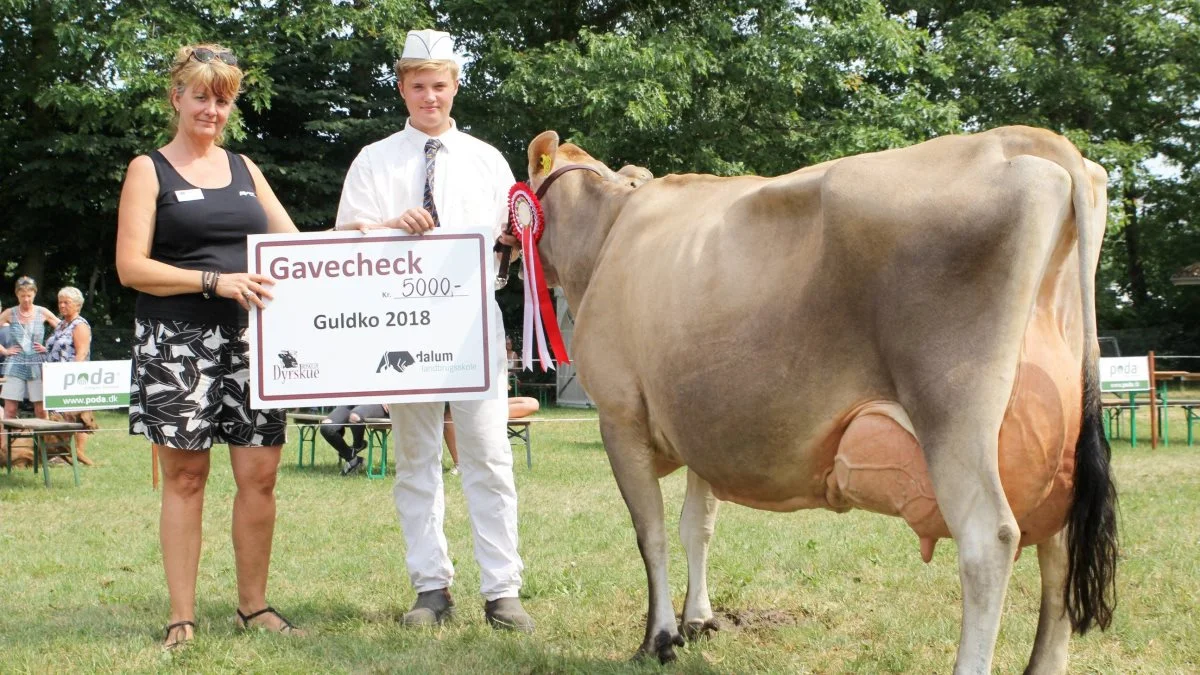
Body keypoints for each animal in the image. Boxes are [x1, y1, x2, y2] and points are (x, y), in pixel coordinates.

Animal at [523, 127, 1113, 672]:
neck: (607, 236)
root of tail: (1023, 139)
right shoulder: (702, 431)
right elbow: (697, 527)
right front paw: (698, 620)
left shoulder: (620, 415)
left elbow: (653, 534)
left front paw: (659, 638)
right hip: (1056, 446)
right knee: (1059, 551)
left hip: (954, 415)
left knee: (989, 540)